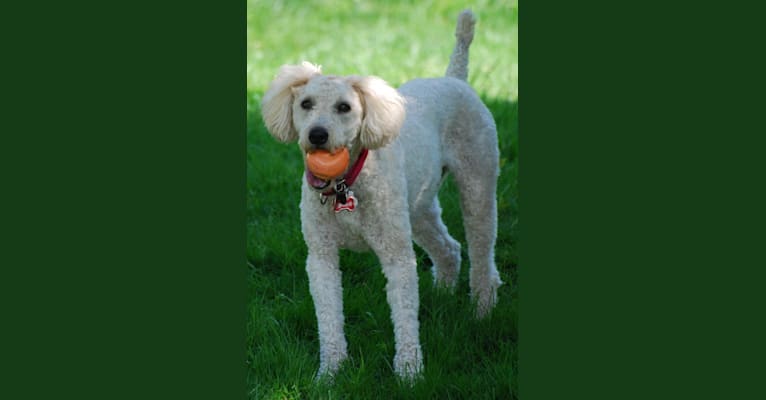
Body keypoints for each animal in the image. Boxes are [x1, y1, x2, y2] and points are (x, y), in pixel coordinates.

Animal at [264, 8, 504, 378]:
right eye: (305, 103)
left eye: (344, 107)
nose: (317, 135)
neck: (347, 184)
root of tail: (455, 78)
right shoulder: (320, 255)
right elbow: (328, 317)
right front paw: (330, 372)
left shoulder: (396, 255)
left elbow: (404, 314)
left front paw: (409, 373)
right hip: (417, 207)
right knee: (448, 248)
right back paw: (443, 297)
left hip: (478, 184)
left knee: (481, 255)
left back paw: (481, 312)